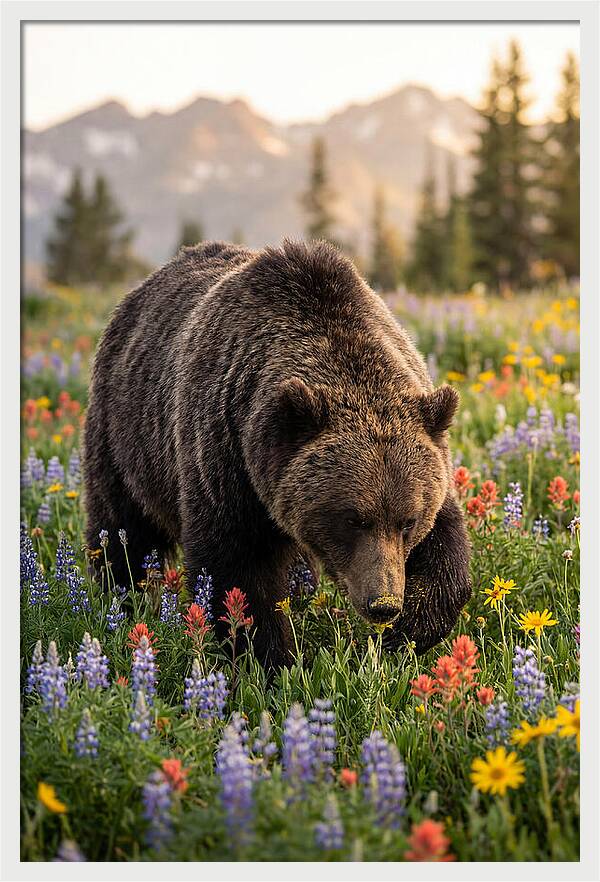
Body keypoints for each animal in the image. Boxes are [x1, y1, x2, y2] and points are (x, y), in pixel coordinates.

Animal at [83, 239, 471, 669]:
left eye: (408, 521)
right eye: (353, 519)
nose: (383, 603)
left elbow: (446, 547)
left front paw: (408, 633)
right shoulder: (226, 456)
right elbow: (237, 571)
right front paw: (268, 660)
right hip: (125, 438)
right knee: (122, 528)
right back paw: (119, 598)